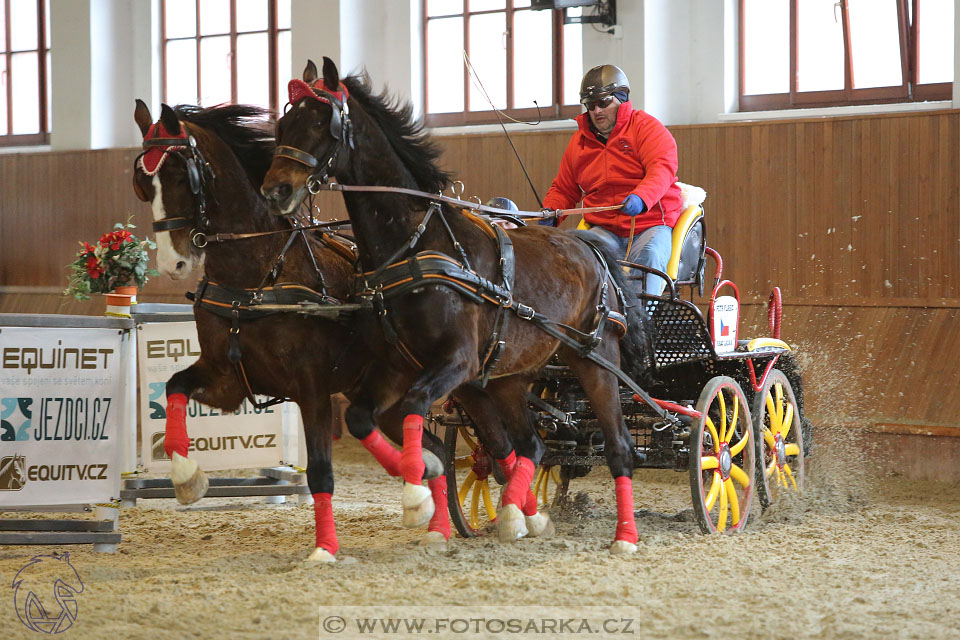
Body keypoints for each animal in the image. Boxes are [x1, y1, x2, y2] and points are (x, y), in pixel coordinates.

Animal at [132, 99, 454, 560]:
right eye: (142, 183)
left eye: (179, 175)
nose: (172, 264)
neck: (258, 275)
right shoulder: (226, 380)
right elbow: (175, 387)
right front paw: (187, 478)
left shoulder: (311, 387)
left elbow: (320, 471)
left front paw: (325, 548)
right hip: (390, 399)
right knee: (434, 449)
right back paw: (434, 517)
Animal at [258, 57, 656, 552]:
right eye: (283, 123)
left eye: (319, 122)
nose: (275, 190)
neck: (415, 244)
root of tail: (590, 246)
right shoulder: (399, 366)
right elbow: (361, 417)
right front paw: (424, 487)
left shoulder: (455, 362)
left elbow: (412, 407)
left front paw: (416, 495)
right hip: (506, 377)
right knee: (528, 446)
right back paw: (520, 516)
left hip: (594, 359)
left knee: (620, 446)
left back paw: (624, 536)